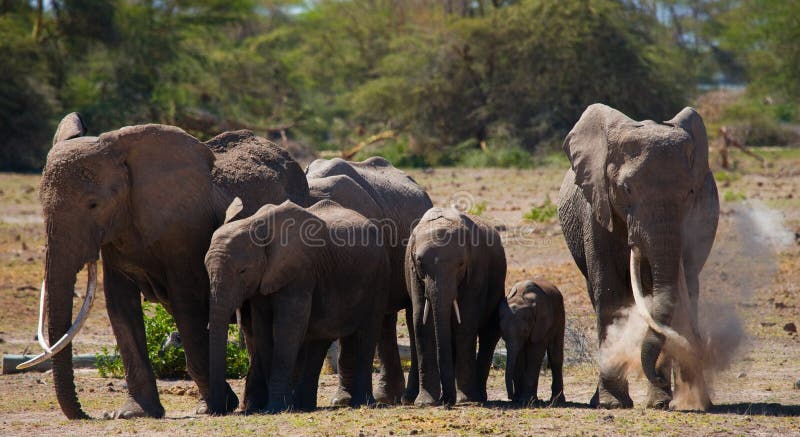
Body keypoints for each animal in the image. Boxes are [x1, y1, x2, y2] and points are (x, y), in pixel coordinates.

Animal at [21, 112, 310, 418]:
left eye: (93, 205)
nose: (88, 415)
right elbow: (120, 307)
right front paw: (134, 413)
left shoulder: (183, 231)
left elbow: (187, 308)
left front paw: (213, 406)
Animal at [206, 199, 390, 414]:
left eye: (243, 271)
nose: (218, 410)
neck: (255, 224)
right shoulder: (265, 279)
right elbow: (263, 330)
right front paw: (280, 406)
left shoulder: (300, 271)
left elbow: (288, 328)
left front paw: (276, 408)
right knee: (320, 341)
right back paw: (304, 406)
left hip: (378, 277)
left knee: (367, 334)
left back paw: (362, 403)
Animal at [406, 206, 506, 404]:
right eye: (420, 262)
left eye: (461, 264)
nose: (446, 400)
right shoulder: (413, 272)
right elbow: (421, 321)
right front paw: (426, 402)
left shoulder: (476, 270)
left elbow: (465, 323)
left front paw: (465, 400)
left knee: (489, 333)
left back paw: (478, 396)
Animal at [556, 104, 720, 410]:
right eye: (627, 189)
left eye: (690, 192)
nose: (654, 374)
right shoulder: (595, 209)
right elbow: (608, 292)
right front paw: (613, 404)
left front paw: (660, 402)